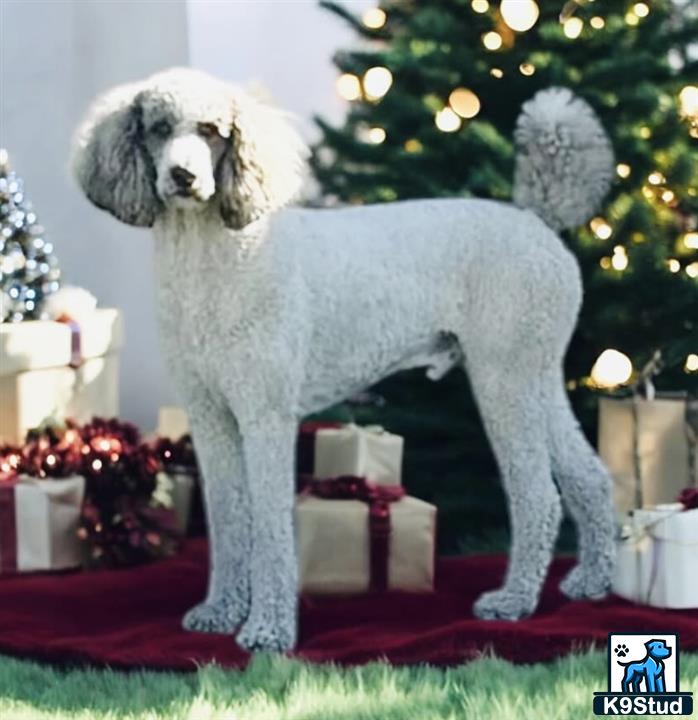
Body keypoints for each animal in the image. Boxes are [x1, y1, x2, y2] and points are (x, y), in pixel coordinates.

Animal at [72, 69, 616, 652]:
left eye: (214, 130)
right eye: (158, 128)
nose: (183, 176)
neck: (220, 261)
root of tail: (539, 219)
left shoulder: (266, 416)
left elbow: (270, 527)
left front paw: (267, 630)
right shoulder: (211, 416)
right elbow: (229, 521)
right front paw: (220, 612)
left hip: (504, 378)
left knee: (539, 498)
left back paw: (514, 602)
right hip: (534, 375)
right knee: (589, 477)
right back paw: (591, 581)